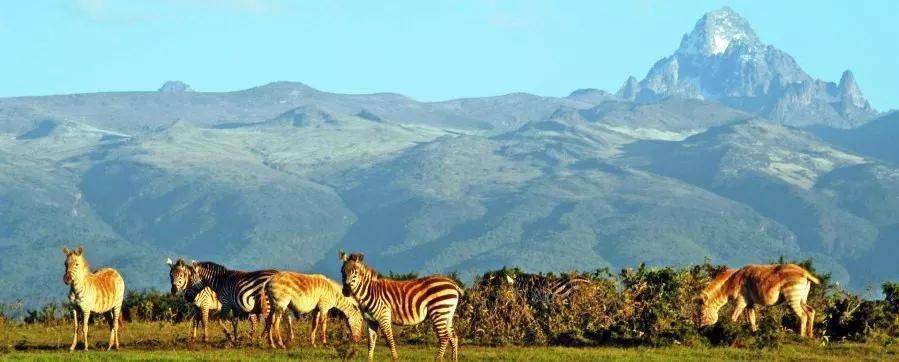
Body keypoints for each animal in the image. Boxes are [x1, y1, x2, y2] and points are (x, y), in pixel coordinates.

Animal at [696, 264, 824, 336]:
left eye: (701, 313)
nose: (700, 329)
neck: (731, 282)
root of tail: (805, 273)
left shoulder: (741, 301)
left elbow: (733, 317)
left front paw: (729, 330)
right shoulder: (749, 303)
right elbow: (752, 319)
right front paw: (753, 333)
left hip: (793, 297)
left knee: (803, 315)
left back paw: (801, 336)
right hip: (801, 299)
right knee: (811, 311)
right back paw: (810, 335)